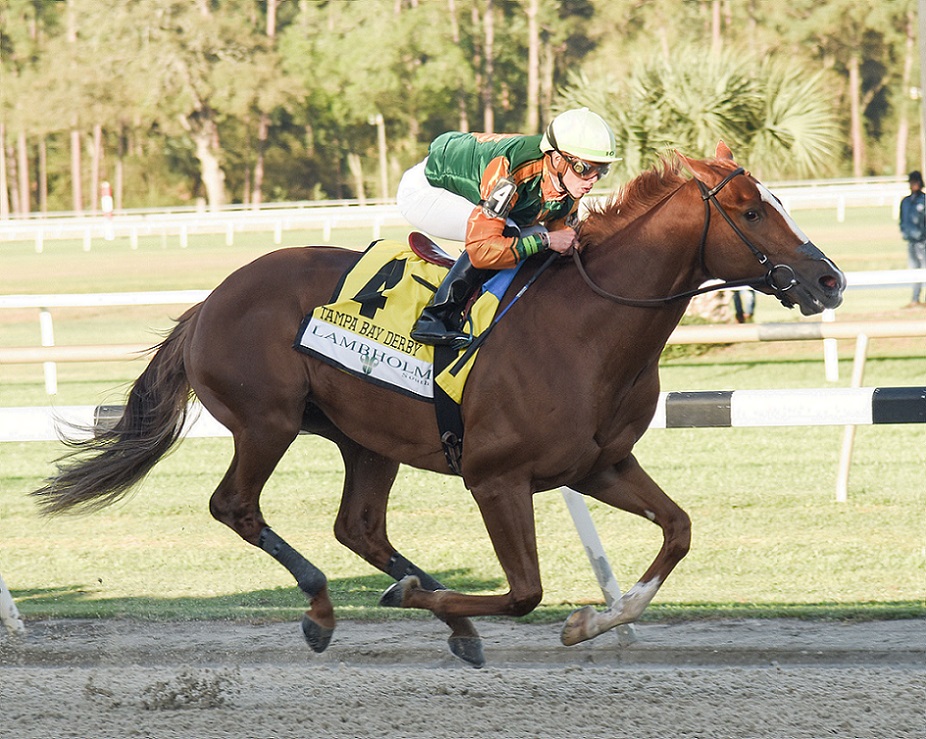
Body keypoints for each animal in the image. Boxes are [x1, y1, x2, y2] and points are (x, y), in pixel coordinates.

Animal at [31, 142, 845, 667]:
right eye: (751, 210)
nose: (829, 279)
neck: (587, 325)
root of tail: (210, 300)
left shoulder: (600, 465)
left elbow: (678, 531)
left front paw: (591, 621)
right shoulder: (497, 479)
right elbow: (522, 592)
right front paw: (441, 605)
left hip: (365, 436)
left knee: (358, 525)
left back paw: (417, 595)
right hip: (268, 421)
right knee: (237, 505)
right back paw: (330, 605)